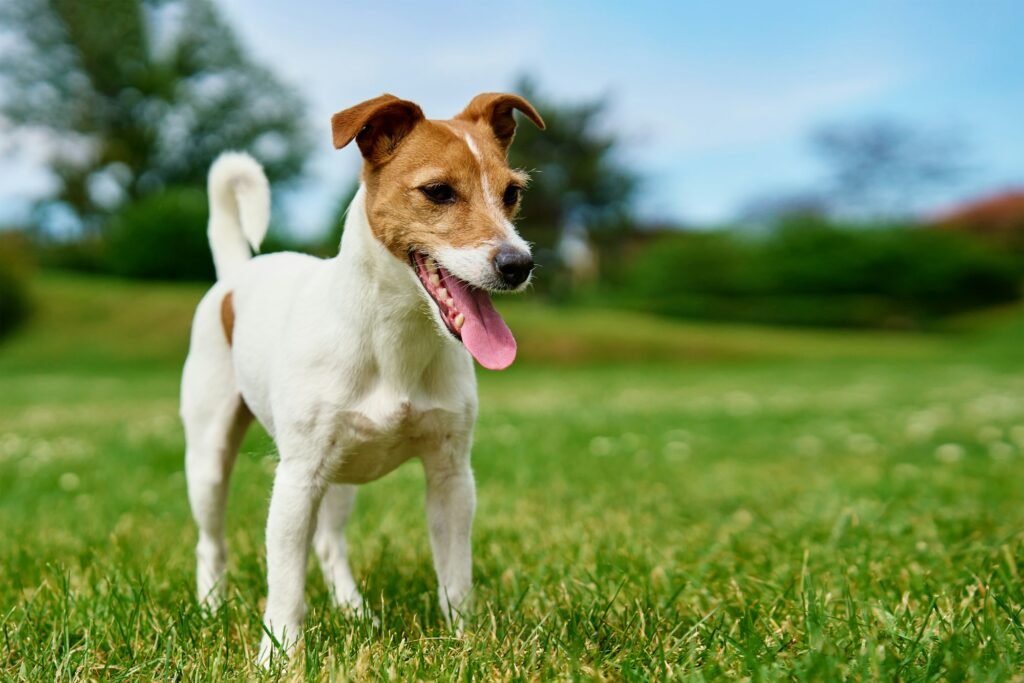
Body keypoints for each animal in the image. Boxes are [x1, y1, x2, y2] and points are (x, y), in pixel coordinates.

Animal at [178, 90, 544, 663]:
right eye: (438, 191)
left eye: (512, 193)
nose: (518, 264)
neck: (392, 341)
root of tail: (237, 273)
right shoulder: (297, 479)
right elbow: (285, 585)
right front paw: (279, 656)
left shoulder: (451, 477)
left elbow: (455, 576)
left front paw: (466, 641)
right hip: (211, 458)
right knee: (211, 542)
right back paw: (212, 606)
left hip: (341, 474)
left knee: (330, 545)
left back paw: (353, 610)